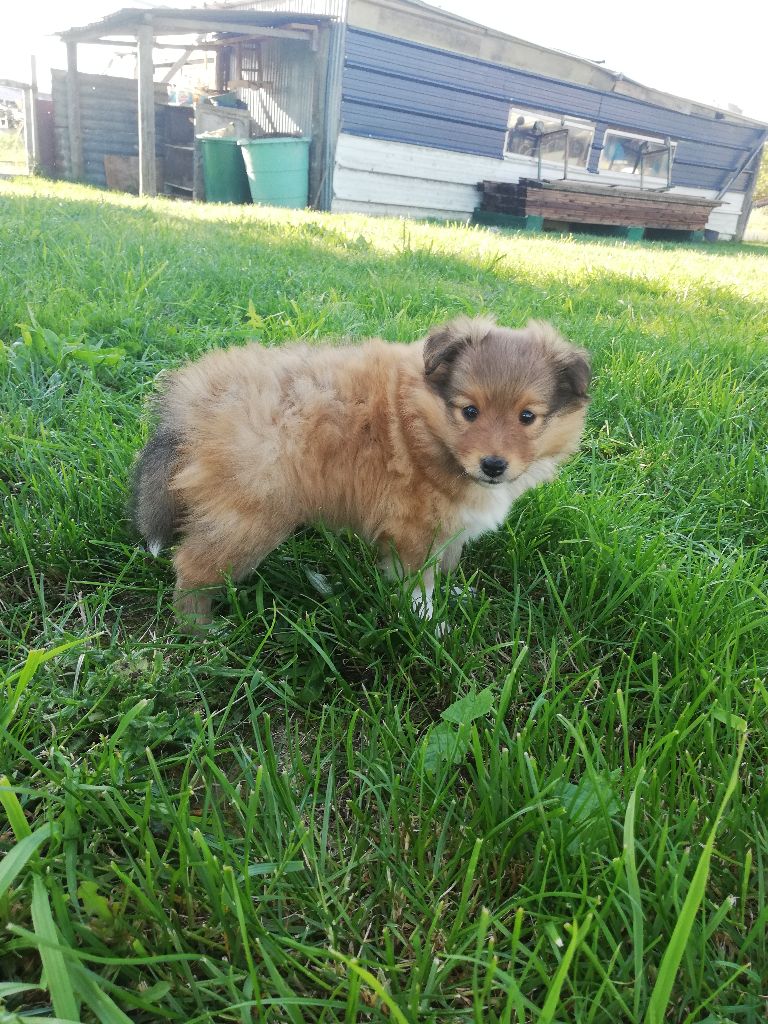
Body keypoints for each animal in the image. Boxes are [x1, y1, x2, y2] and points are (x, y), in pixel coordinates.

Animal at [132, 316, 590, 626]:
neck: (424, 429)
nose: (493, 465)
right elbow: (420, 583)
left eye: (527, 417)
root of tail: (194, 399)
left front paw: (455, 594)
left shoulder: (448, 526)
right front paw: (428, 624)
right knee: (192, 566)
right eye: (470, 411)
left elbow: (447, 564)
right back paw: (202, 630)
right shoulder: (412, 532)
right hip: (249, 518)